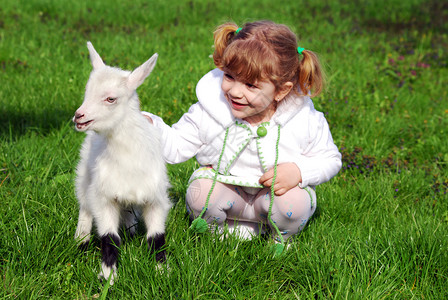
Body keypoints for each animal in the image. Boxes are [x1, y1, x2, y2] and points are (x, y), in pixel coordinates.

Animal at [73, 41, 172, 284]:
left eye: (111, 99)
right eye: (87, 92)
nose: (79, 116)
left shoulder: (156, 197)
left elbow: (157, 236)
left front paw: (162, 272)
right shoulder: (103, 197)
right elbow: (109, 237)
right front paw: (108, 276)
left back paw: (131, 230)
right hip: (85, 175)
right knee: (84, 206)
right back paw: (81, 242)